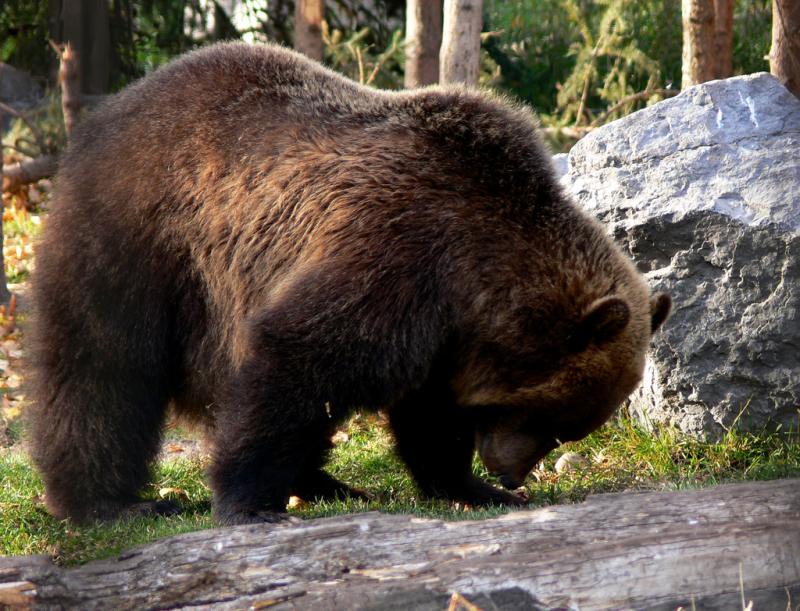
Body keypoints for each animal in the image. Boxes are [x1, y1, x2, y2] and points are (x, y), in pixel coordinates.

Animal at [28, 40, 668, 524]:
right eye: (553, 419)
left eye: (568, 430)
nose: (510, 472)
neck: (478, 274)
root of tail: (108, 111)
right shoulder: (395, 256)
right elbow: (299, 358)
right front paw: (249, 504)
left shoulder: (445, 334)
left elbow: (430, 416)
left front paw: (468, 486)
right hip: (142, 242)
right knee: (102, 369)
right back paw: (108, 502)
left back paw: (328, 482)